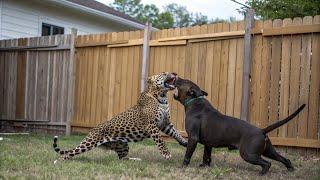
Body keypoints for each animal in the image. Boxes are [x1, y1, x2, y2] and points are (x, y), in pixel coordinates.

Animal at [52, 72, 188, 163]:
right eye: (164, 73)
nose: (174, 73)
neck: (162, 97)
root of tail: (93, 129)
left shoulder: (166, 124)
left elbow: (176, 133)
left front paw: (184, 142)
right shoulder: (152, 125)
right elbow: (161, 141)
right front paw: (166, 154)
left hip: (123, 145)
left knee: (122, 158)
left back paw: (136, 160)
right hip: (89, 143)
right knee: (70, 152)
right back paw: (59, 161)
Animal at [174, 77, 306, 174]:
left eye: (182, 81)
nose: (176, 76)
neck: (194, 101)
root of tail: (261, 131)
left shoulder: (193, 138)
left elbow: (188, 154)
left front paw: (183, 167)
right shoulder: (208, 144)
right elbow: (206, 156)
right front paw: (204, 166)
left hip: (248, 154)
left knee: (267, 163)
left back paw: (262, 173)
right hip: (268, 151)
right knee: (284, 159)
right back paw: (290, 169)